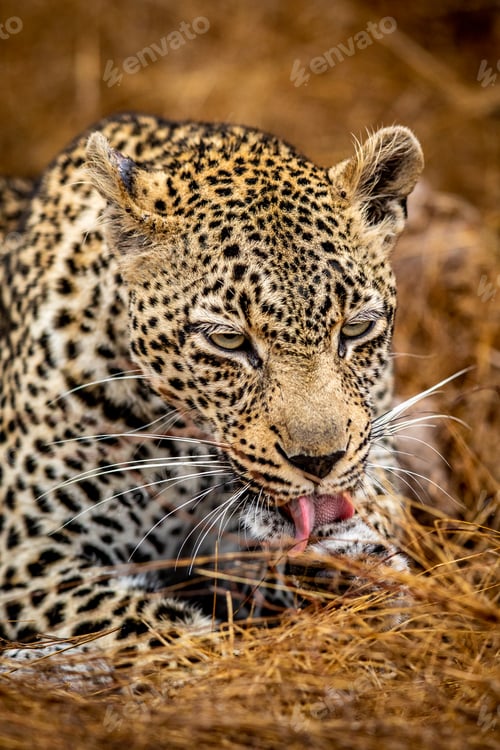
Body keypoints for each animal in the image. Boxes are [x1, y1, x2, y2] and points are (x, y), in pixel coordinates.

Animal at [0, 112, 424, 655]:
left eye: (354, 329)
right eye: (228, 340)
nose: (319, 463)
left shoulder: (376, 433)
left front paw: (356, 562)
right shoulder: (29, 553)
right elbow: (155, 632)